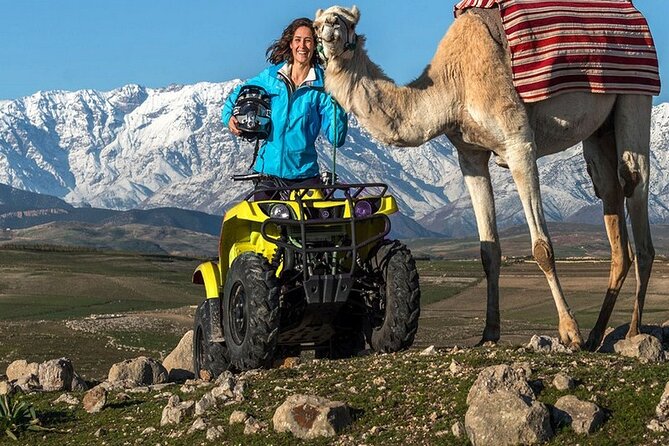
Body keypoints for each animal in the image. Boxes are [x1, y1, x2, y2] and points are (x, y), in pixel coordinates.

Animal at [313, 5, 655, 350]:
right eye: (317, 24)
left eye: (346, 21)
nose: (328, 28)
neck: (454, 85)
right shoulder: (470, 155)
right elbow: (488, 251)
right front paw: (489, 334)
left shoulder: (518, 144)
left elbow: (542, 249)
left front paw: (570, 332)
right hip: (599, 130)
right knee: (609, 193)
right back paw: (597, 334)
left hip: (635, 94)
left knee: (633, 179)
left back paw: (632, 330)